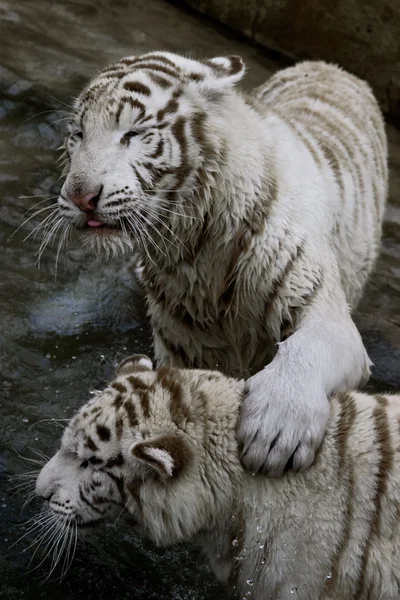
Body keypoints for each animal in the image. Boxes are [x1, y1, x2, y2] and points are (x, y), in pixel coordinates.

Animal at [50, 55, 388, 478]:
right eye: (78, 135)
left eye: (134, 133)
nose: (80, 197)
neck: (197, 244)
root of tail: (330, 65)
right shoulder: (185, 344)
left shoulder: (323, 308)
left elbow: (306, 348)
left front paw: (276, 429)